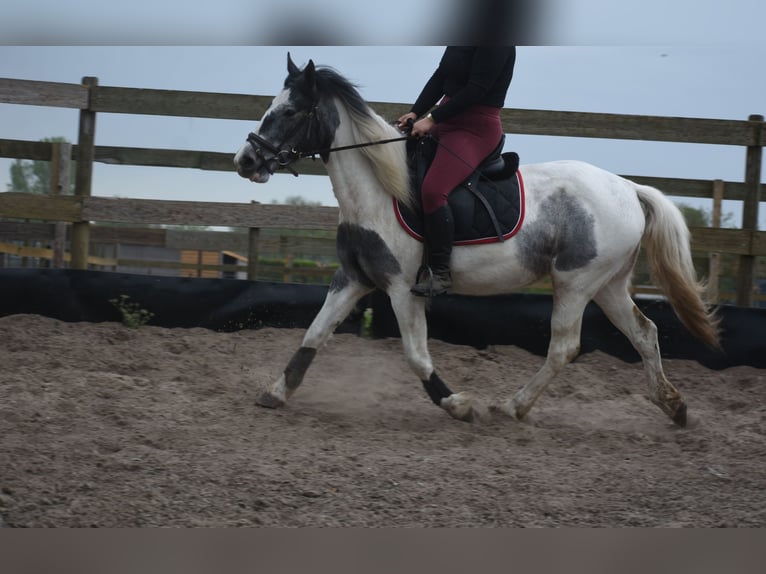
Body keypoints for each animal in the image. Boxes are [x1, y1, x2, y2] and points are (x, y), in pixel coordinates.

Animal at [234, 54, 719, 427]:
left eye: (291, 112)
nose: (246, 160)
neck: (376, 191)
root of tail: (628, 188)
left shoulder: (402, 289)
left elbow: (416, 354)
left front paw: (459, 405)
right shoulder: (353, 278)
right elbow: (314, 334)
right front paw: (275, 392)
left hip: (576, 282)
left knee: (564, 346)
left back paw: (513, 406)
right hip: (608, 284)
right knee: (644, 333)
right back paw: (673, 406)